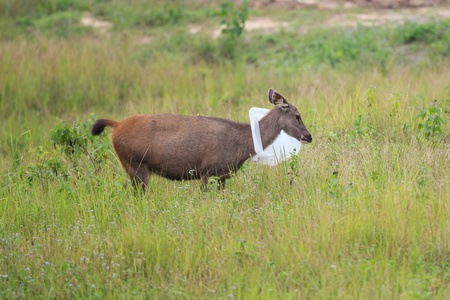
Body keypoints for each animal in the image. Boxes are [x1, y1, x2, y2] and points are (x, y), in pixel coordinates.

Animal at [89, 88, 312, 192]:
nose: (308, 136)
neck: (242, 144)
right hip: (136, 164)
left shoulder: (222, 176)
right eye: (297, 115)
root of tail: (116, 125)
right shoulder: (207, 171)